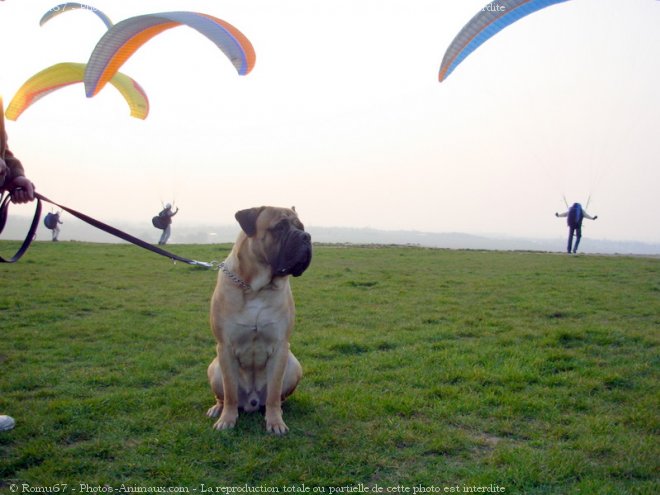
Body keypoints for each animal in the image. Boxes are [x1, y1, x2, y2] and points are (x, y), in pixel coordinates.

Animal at [206, 205, 312, 434]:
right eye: (280, 227)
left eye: (301, 227)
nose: (306, 237)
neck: (257, 288)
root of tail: (252, 402)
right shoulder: (225, 347)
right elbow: (230, 392)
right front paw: (227, 420)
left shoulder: (280, 347)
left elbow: (273, 393)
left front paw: (275, 422)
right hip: (214, 368)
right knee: (224, 396)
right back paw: (217, 409)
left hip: (293, 366)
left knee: (277, 397)